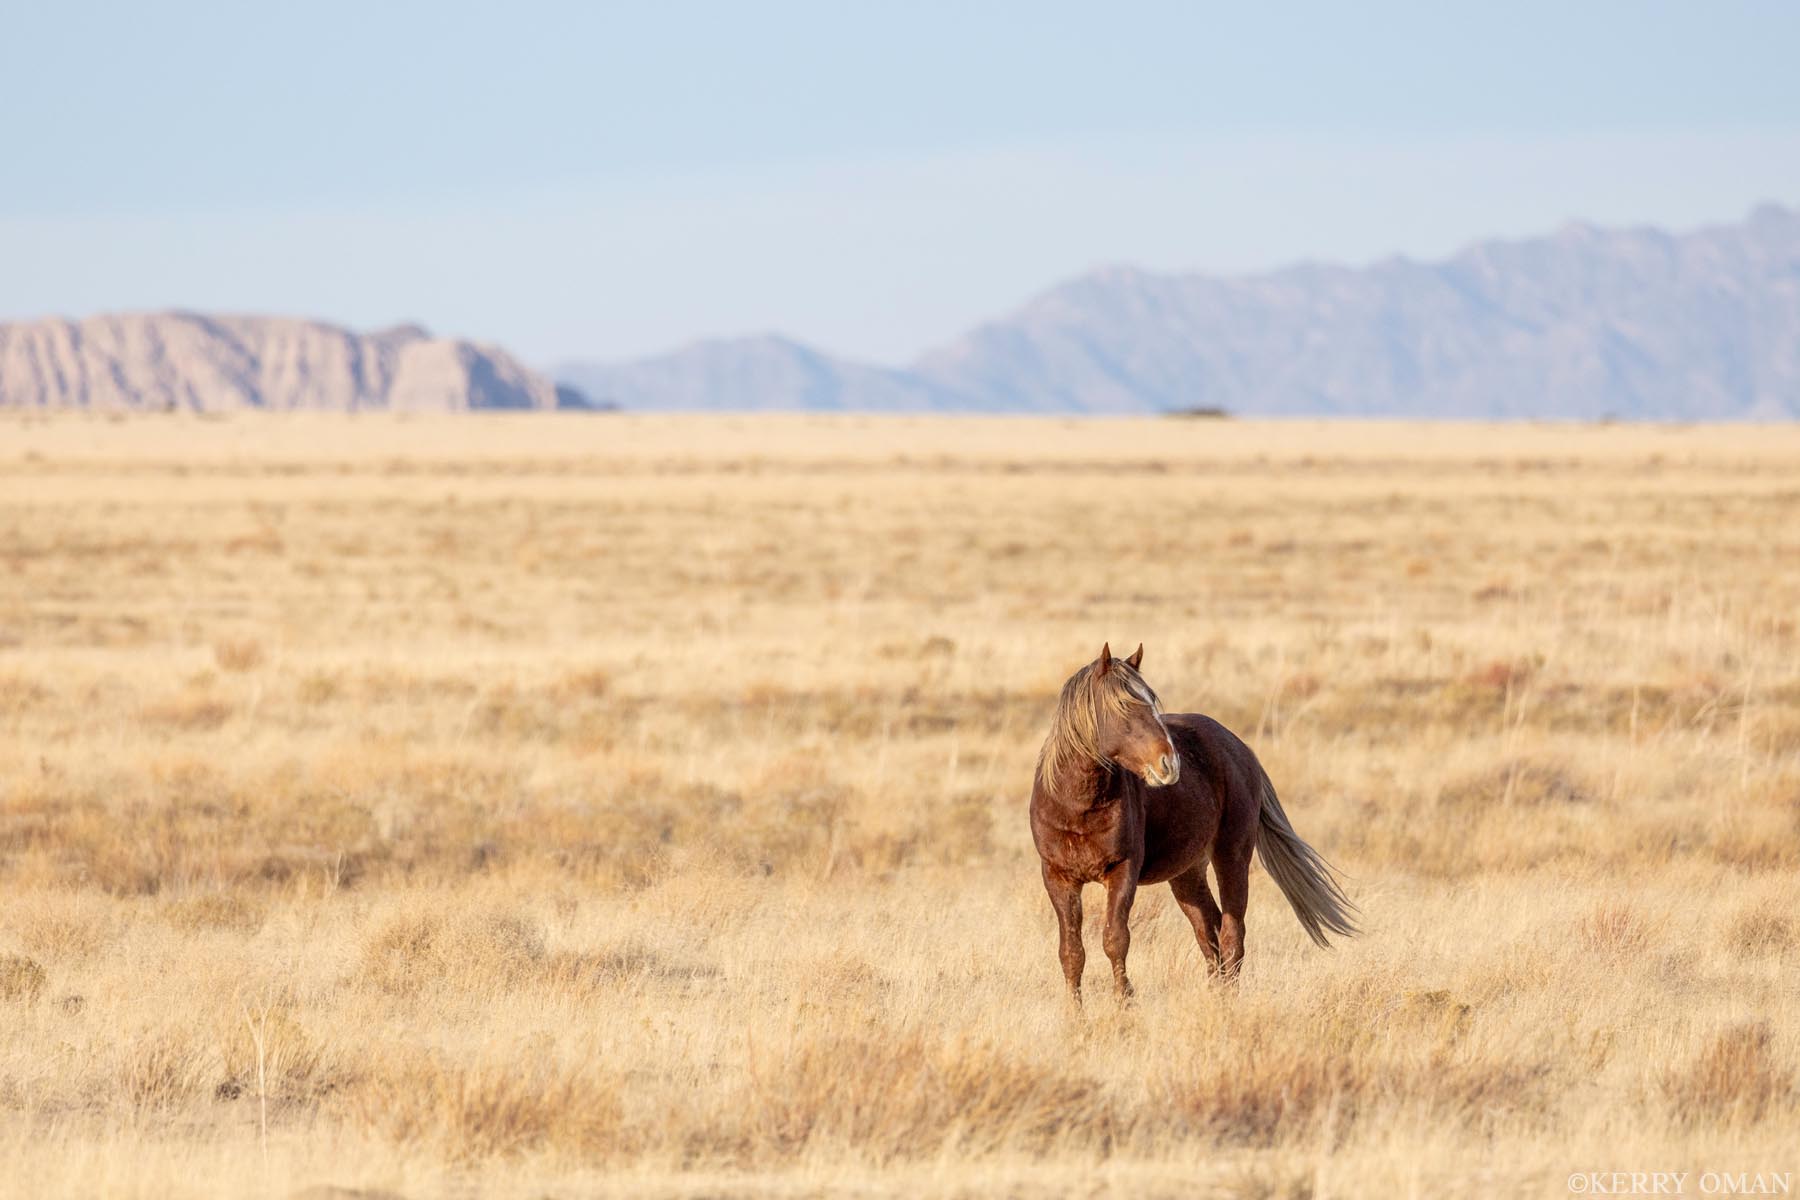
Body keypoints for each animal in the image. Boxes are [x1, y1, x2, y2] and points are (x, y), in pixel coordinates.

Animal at [1029, 643, 1356, 1000]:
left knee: (1231, 934)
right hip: (1187, 874)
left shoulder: (1123, 871)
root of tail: (1240, 747)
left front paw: (1124, 1003)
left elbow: (1115, 939)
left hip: (1232, 857)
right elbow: (1071, 952)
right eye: (1124, 706)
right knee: (1208, 931)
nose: (1169, 764)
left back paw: (1227, 1001)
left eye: (1152, 703)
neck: (1077, 807)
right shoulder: (1058, 878)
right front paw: (1075, 1010)